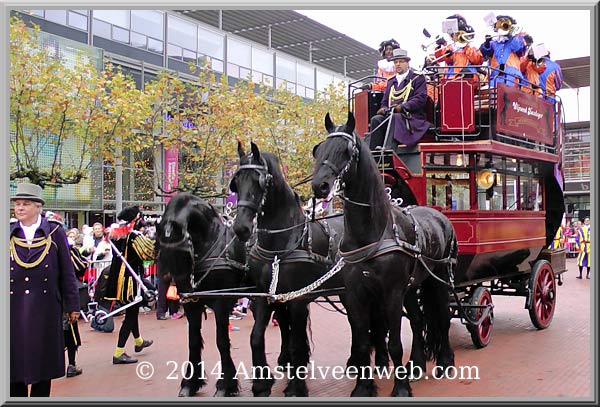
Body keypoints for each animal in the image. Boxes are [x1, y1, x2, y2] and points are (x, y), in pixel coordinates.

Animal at [157, 193, 248, 396]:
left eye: (184, 252)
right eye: (162, 251)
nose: (183, 289)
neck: (210, 243)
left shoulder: (221, 303)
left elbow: (222, 341)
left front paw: (225, 385)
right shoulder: (193, 304)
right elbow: (193, 341)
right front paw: (190, 383)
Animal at [227, 142, 386, 396]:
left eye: (259, 181)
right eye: (237, 181)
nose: (241, 228)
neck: (281, 243)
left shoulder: (298, 300)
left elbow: (297, 342)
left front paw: (296, 386)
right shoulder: (264, 296)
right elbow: (256, 337)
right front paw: (262, 382)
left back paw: (379, 361)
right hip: (348, 292)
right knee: (355, 322)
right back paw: (354, 362)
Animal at [312, 112, 458, 398]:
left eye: (346, 151)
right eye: (319, 149)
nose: (319, 186)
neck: (372, 233)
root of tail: (438, 215)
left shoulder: (390, 293)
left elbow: (395, 344)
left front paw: (400, 388)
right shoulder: (356, 294)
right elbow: (361, 342)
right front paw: (363, 387)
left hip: (437, 280)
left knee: (443, 317)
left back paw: (445, 362)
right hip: (412, 287)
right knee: (418, 320)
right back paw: (416, 366)